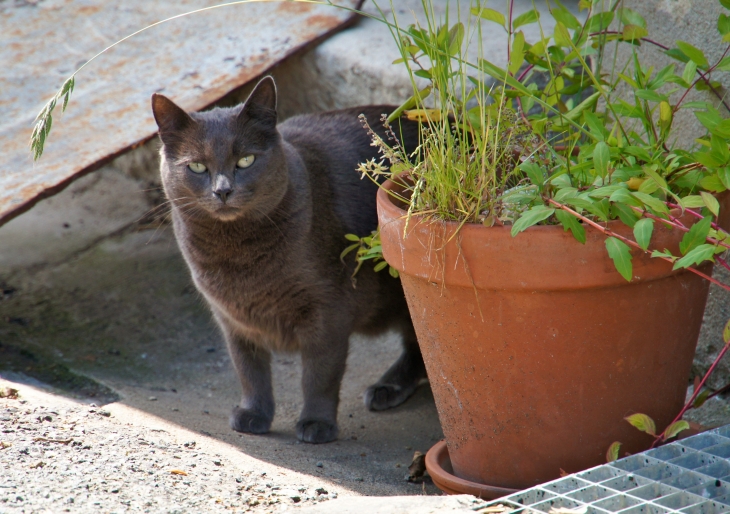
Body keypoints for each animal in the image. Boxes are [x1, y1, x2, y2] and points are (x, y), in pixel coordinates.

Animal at [152, 78, 426, 442]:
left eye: (246, 160)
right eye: (197, 166)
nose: (222, 190)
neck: (238, 256)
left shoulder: (328, 310)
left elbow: (319, 373)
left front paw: (316, 424)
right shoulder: (232, 320)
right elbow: (249, 370)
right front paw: (254, 415)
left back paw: (387, 388)